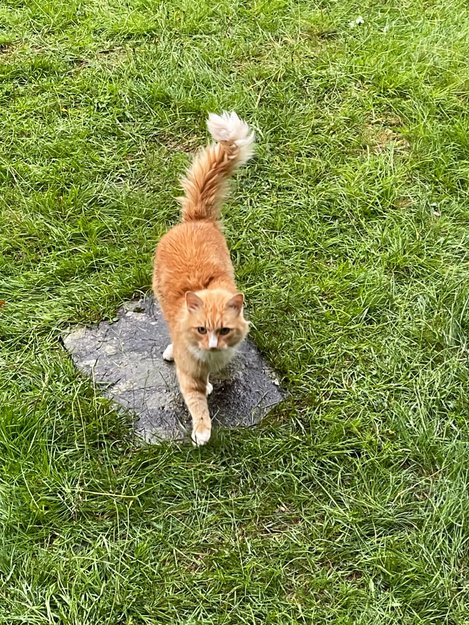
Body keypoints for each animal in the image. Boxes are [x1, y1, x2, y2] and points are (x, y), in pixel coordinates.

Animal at [153, 111, 255, 446]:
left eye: (223, 331)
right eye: (201, 329)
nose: (211, 345)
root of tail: (196, 218)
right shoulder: (188, 374)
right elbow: (197, 402)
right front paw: (202, 431)